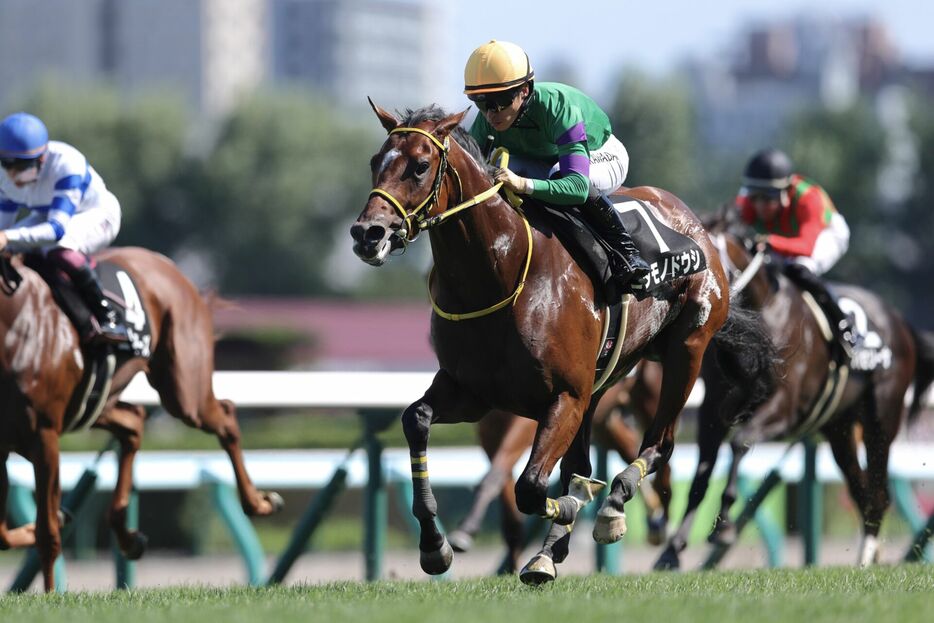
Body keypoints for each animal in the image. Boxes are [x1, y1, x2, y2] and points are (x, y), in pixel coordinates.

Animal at [0, 247, 284, 588]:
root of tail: (171, 267)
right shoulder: (5, 448)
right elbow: (3, 535)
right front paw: (49, 523)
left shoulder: (44, 437)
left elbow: (47, 535)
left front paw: (52, 593)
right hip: (101, 400)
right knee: (134, 421)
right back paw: (128, 537)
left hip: (184, 392)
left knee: (225, 415)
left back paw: (258, 502)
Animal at [352, 102, 776, 584]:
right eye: (375, 161)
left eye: (420, 166)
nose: (367, 234)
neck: (501, 273)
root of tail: (695, 224)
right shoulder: (474, 393)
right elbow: (417, 420)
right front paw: (435, 545)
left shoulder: (561, 397)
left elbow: (532, 487)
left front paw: (578, 508)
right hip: (603, 380)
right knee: (587, 460)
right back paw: (551, 549)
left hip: (686, 349)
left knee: (660, 443)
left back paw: (614, 507)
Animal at [656, 218, 934, 572]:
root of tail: (901, 322)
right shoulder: (712, 412)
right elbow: (701, 475)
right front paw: (672, 550)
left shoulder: (784, 410)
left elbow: (740, 442)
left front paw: (724, 526)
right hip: (840, 430)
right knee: (862, 492)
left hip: (881, 420)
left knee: (879, 494)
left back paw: (864, 558)